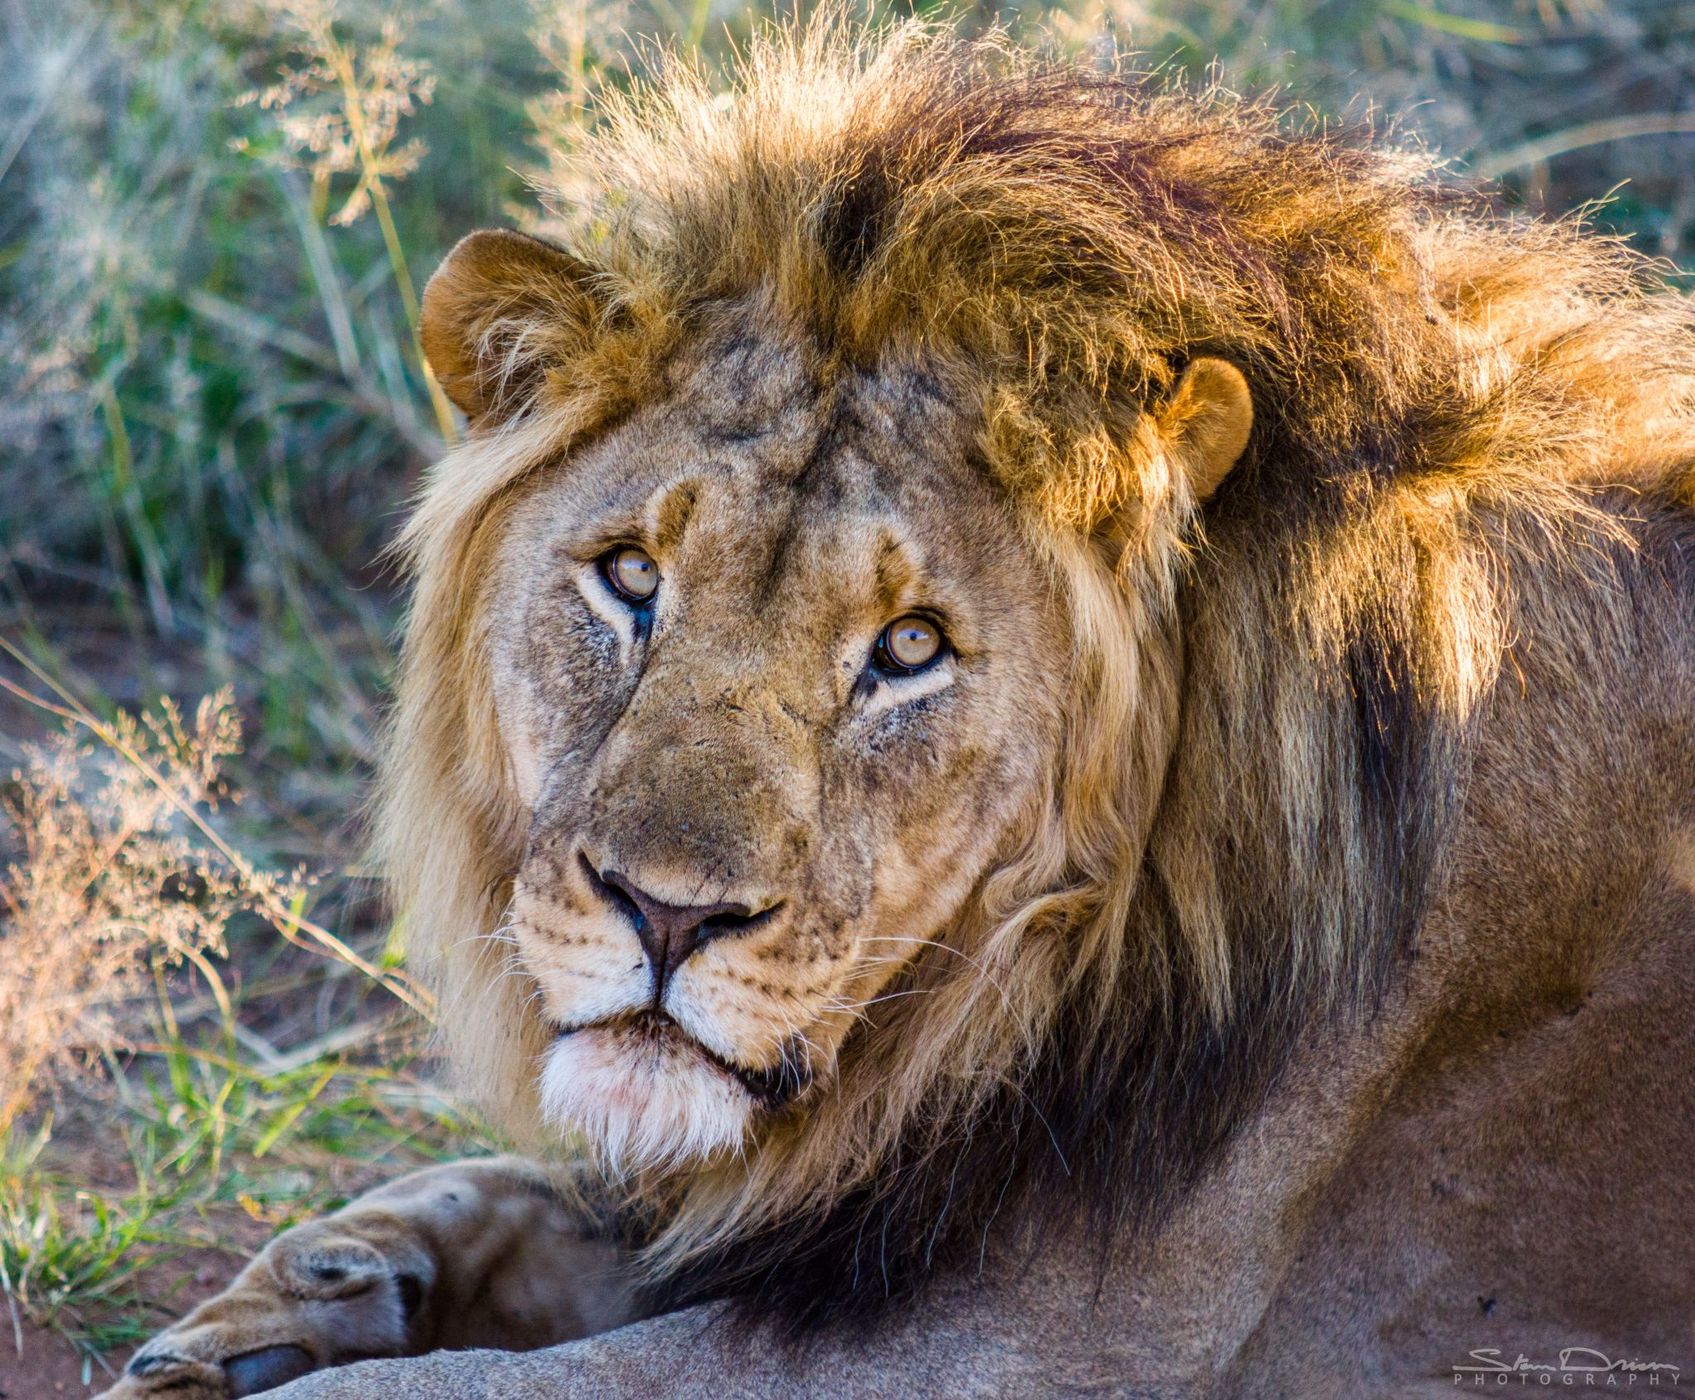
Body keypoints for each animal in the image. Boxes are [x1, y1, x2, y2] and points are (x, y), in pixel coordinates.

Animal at [102, 18, 1695, 1400]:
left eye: (909, 647)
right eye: (630, 577)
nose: (665, 915)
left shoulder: (1056, 1340)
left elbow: (484, 1383)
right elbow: (504, 1187)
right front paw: (274, 1306)